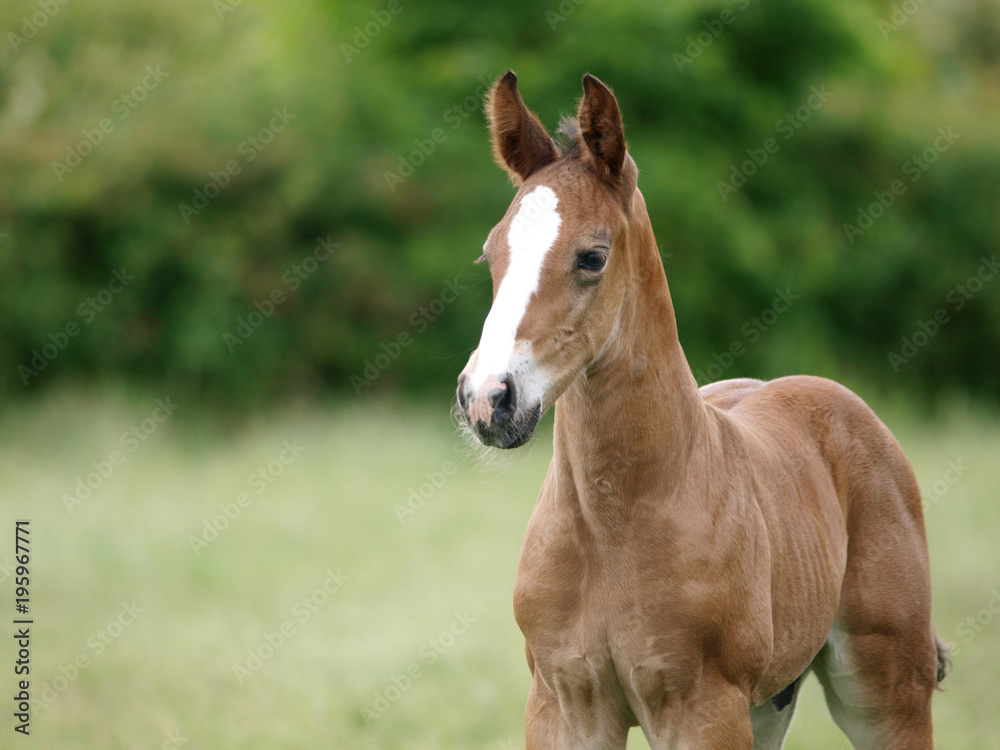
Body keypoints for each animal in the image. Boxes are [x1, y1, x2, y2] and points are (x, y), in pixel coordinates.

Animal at [458, 72, 940, 750]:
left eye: (593, 256)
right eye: (491, 253)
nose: (487, 398)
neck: (613, 525)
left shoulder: (701, 709)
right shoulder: (563, 705)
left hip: (886, 687)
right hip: (768, 707)